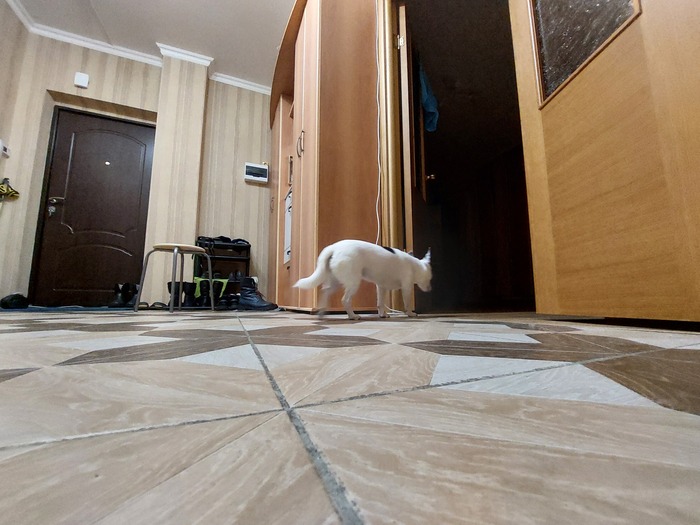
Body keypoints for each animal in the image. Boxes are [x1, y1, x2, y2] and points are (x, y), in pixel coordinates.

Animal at [294, 239, 432, 320]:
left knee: (325, 292)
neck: (416, 265)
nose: (430, 288)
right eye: (430, 279)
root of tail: (333, 248)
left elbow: (380, 303)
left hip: (335, 282)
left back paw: (322, 313)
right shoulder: (406, 288)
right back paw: (352, 316)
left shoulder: (381, 287)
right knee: (345, 300)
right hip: (353, 283)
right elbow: (407, 303)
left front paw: (383, 315)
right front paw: (410, 313)